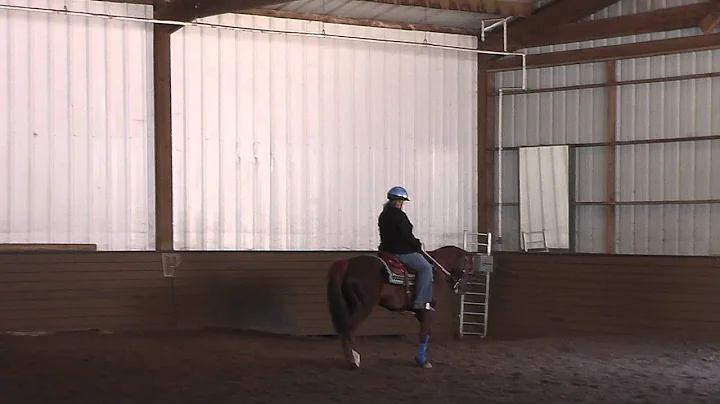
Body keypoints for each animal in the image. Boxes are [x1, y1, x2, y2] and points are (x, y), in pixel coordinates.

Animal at [324, 245, 472, 370]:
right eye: (469, 268)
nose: (462, 289)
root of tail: (347, 263)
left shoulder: (420, 312)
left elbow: (427, 331)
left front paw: (420, 358)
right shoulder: (427, 310)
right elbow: (424, 333)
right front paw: (422, 361)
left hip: (350, 305)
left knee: (345, 328)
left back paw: (350, 359)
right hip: (364, 306)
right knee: (350, 328)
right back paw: (354, 360)